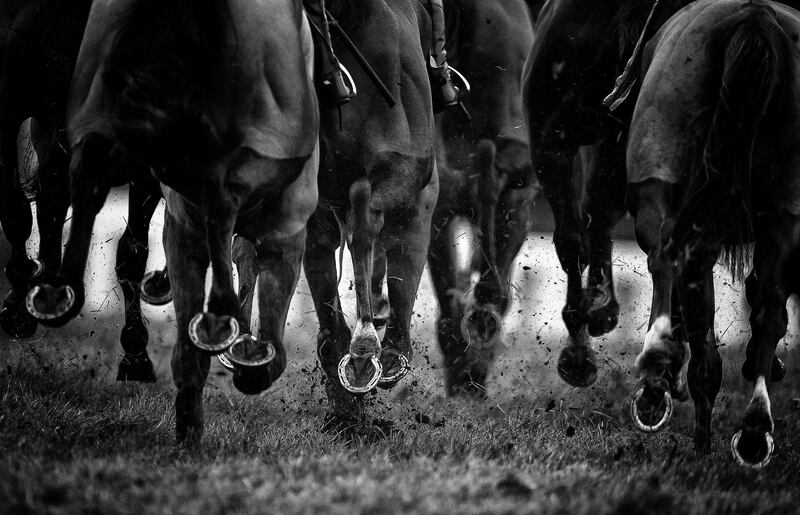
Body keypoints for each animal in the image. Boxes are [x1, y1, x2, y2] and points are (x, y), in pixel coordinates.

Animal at [628, 0, 800, 468]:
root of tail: (755, 17)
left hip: (661, 179)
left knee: (674, 267)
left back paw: (661, 371)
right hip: (780, 209)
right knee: (763, 307)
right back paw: (752, 425)